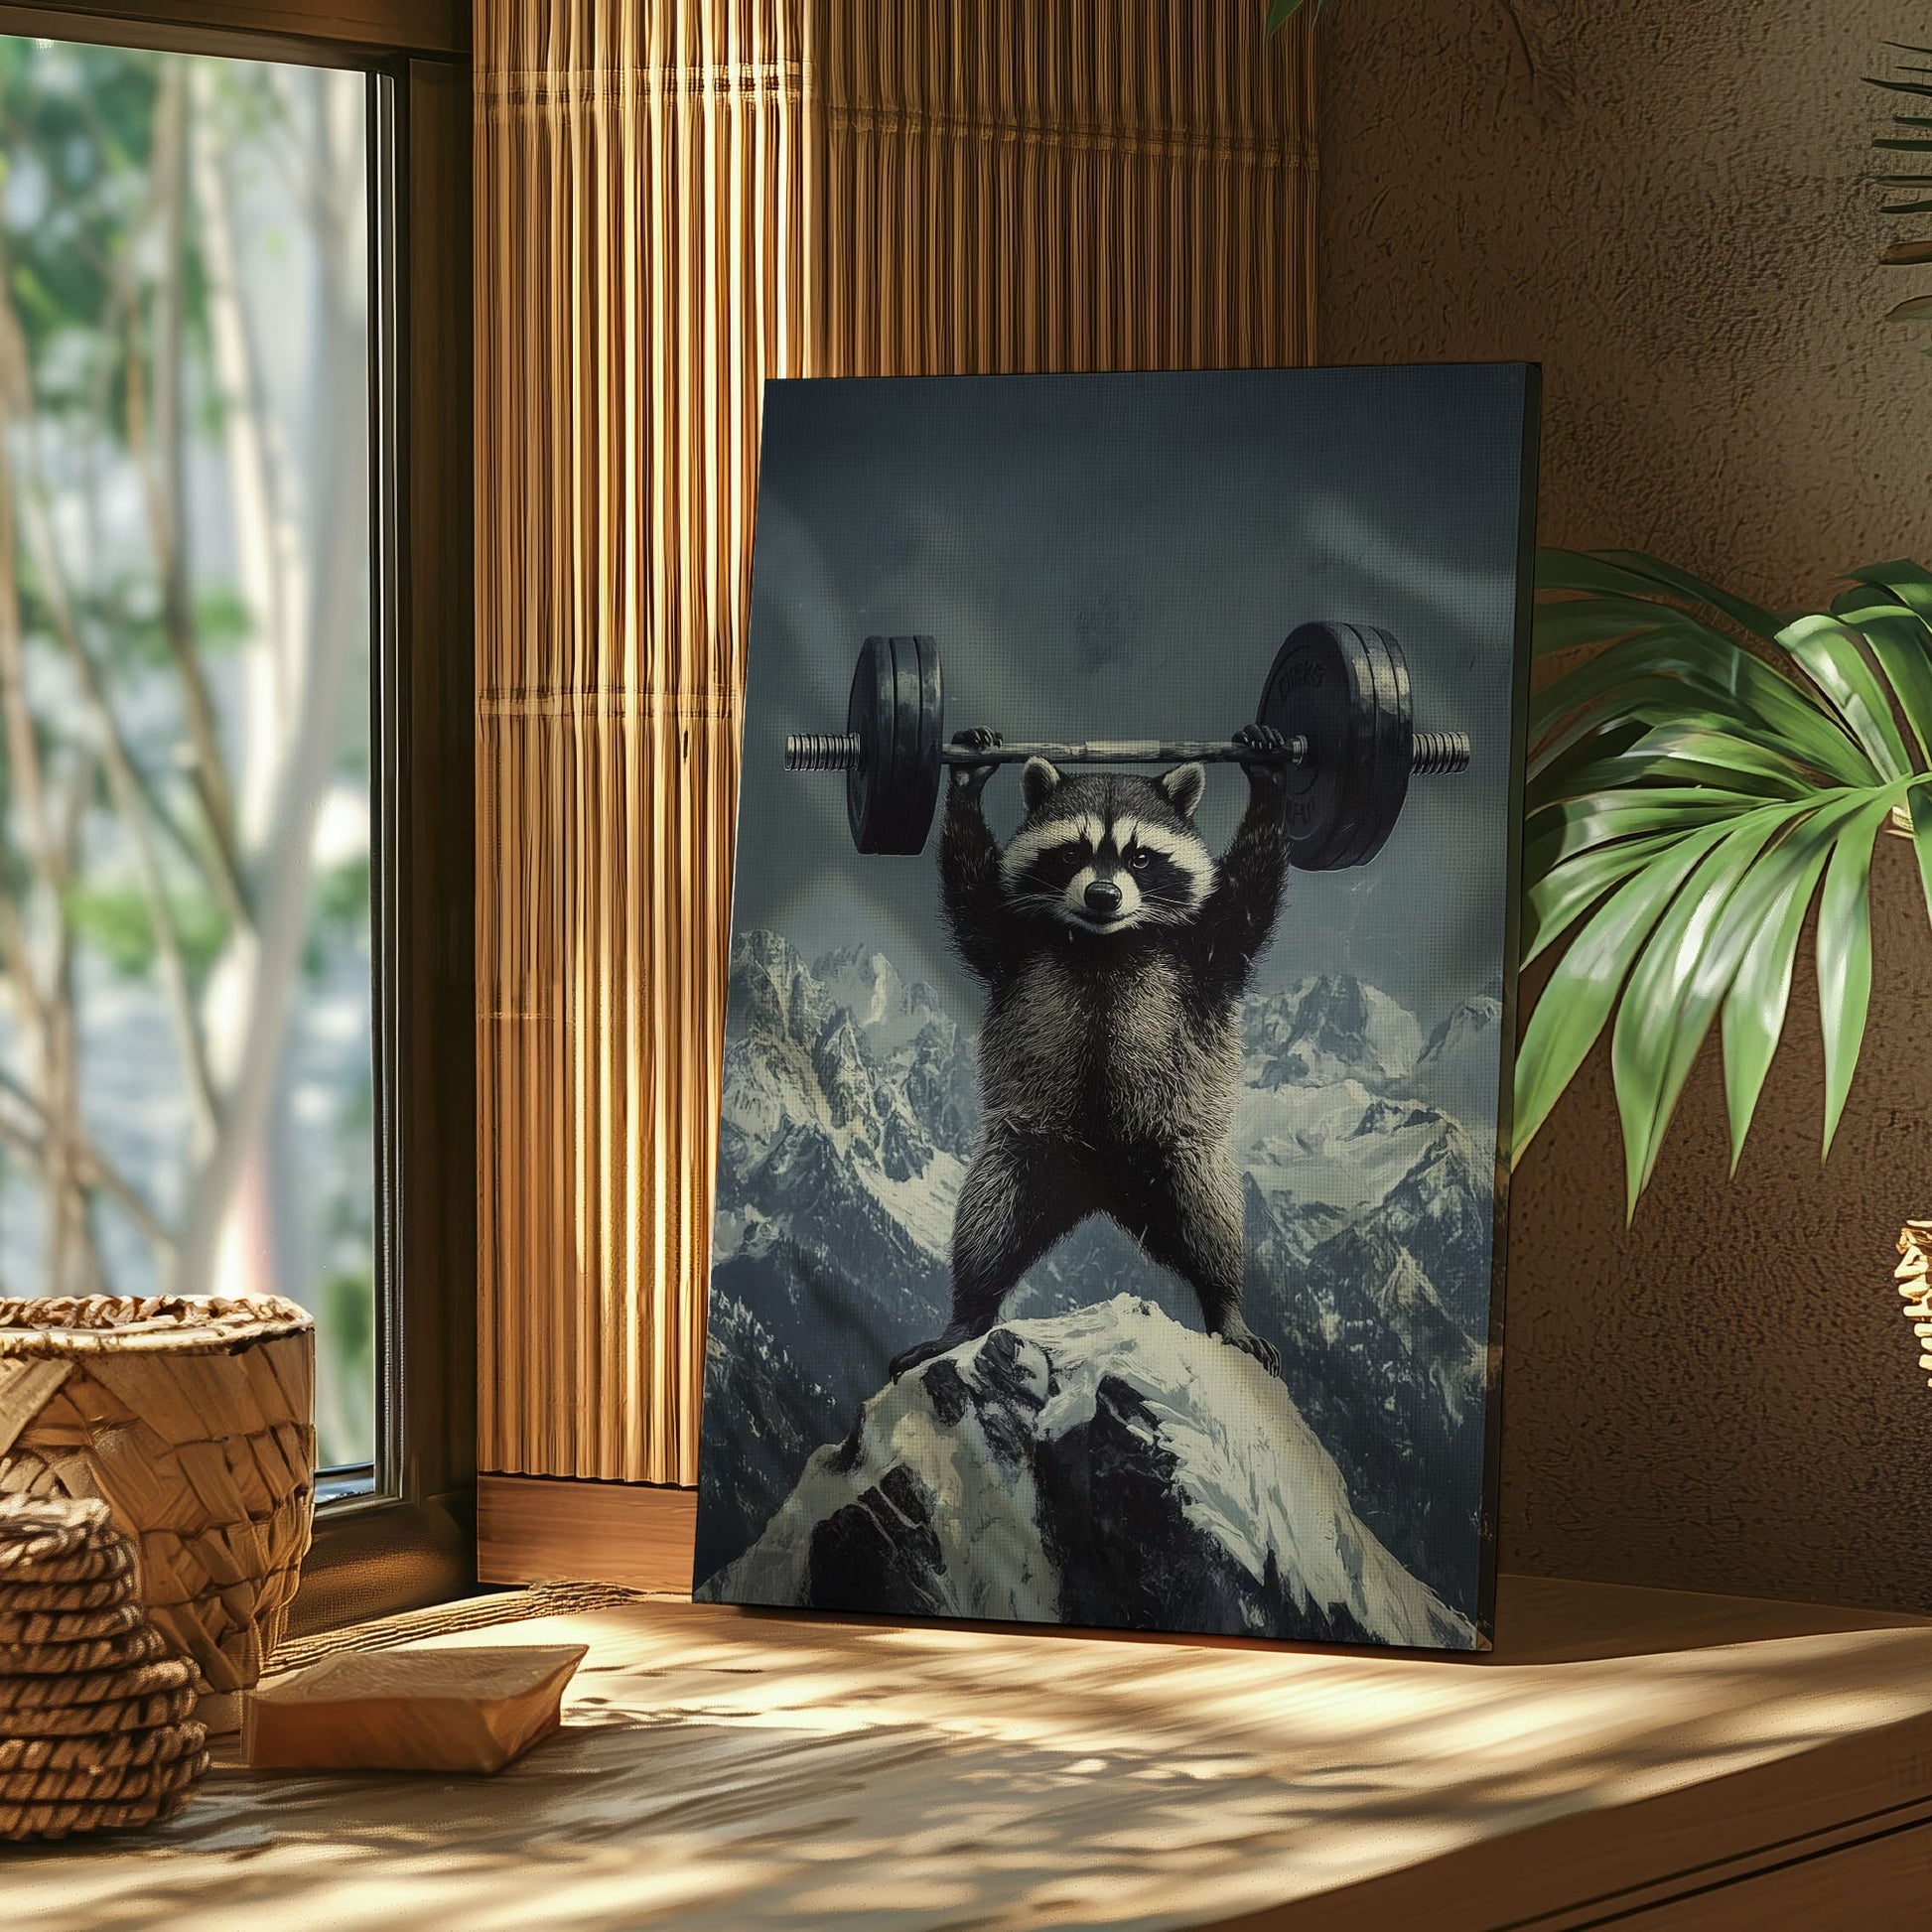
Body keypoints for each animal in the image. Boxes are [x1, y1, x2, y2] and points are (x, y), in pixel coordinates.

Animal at [887, 722, 1293, 1381]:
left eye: (1140, 856)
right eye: (1073, 853)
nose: (1103, 895)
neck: (1105, 940)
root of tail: (1103, 1190)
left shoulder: (1205, 952)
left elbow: (1249, 901)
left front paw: (1271, 784)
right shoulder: (1012, 944)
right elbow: (971, 895)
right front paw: (968, 779)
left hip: (1175, 1148)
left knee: (1209, 1218)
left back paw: (1226, 1302)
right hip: (1029, 1150)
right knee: (988, 1227)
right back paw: (968, 1313)